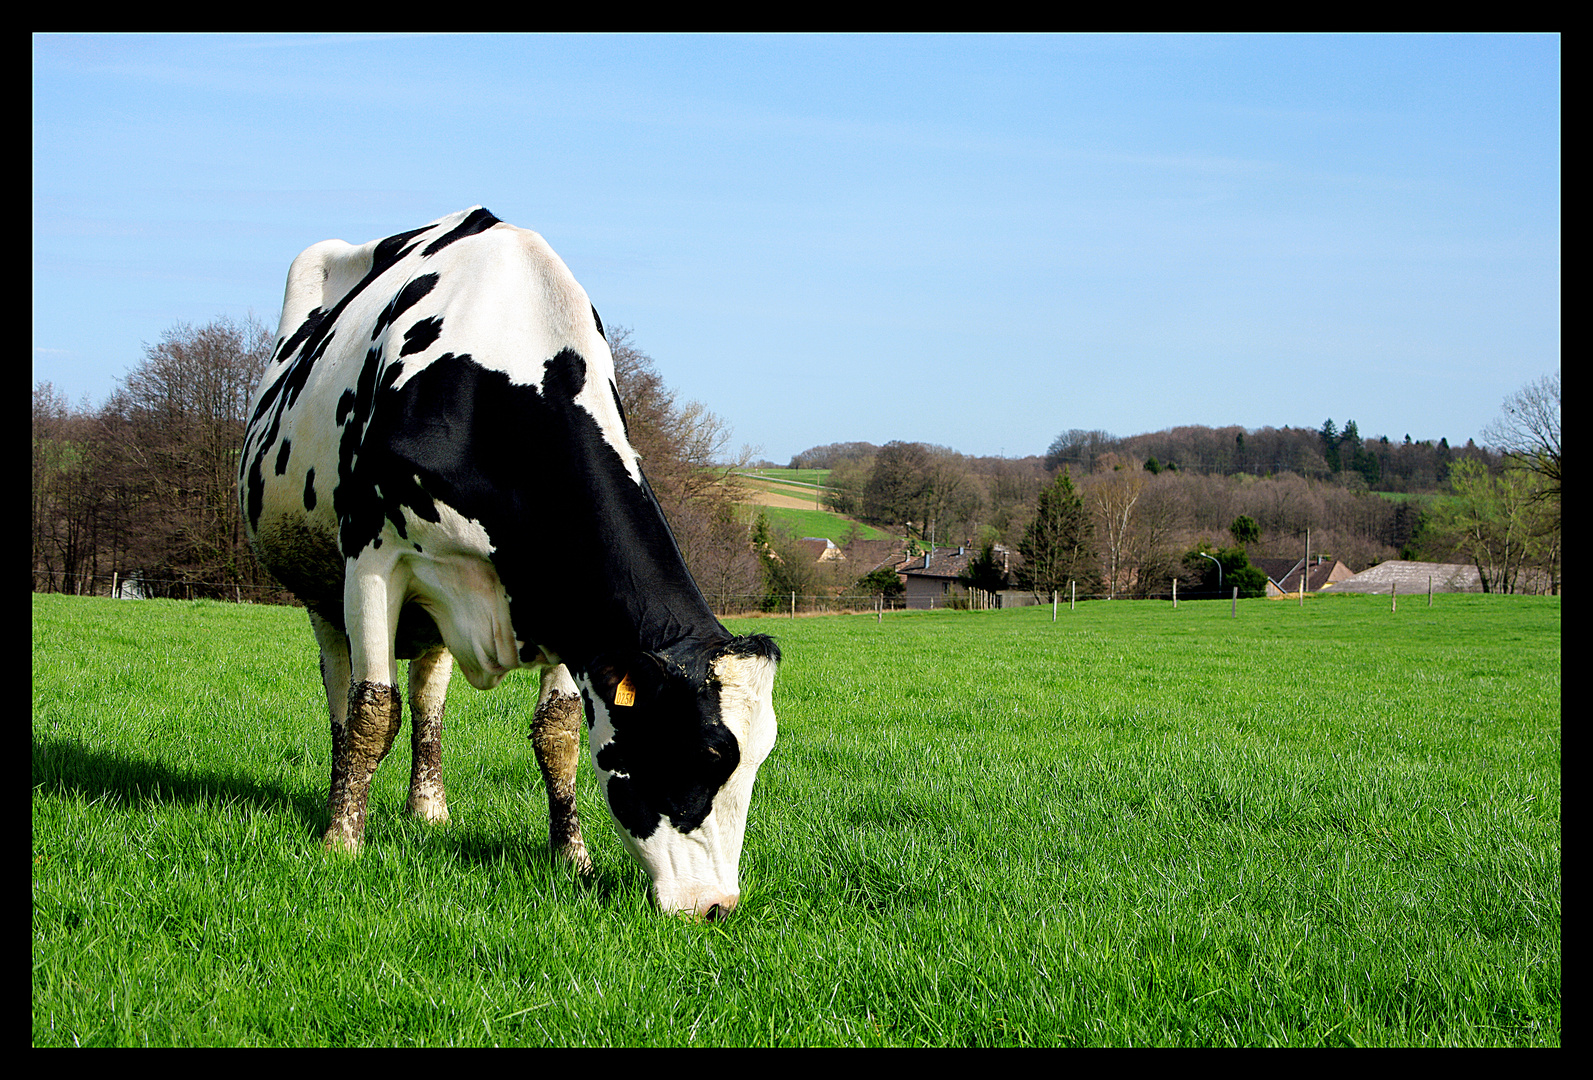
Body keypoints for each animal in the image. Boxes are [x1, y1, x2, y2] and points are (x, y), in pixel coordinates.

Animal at [235, 208, 777, 923]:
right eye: (706, 751)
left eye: (759, 758)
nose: (716, 905)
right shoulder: (373, 558)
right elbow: (373, 711)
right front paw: (340, 846)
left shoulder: (567, 604)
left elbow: (558, 734)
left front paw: (572, 857)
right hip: (321, 589)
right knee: (343, 698)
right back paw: (340, 804)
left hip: (431, 615)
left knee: (429, 695)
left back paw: (428, 808)